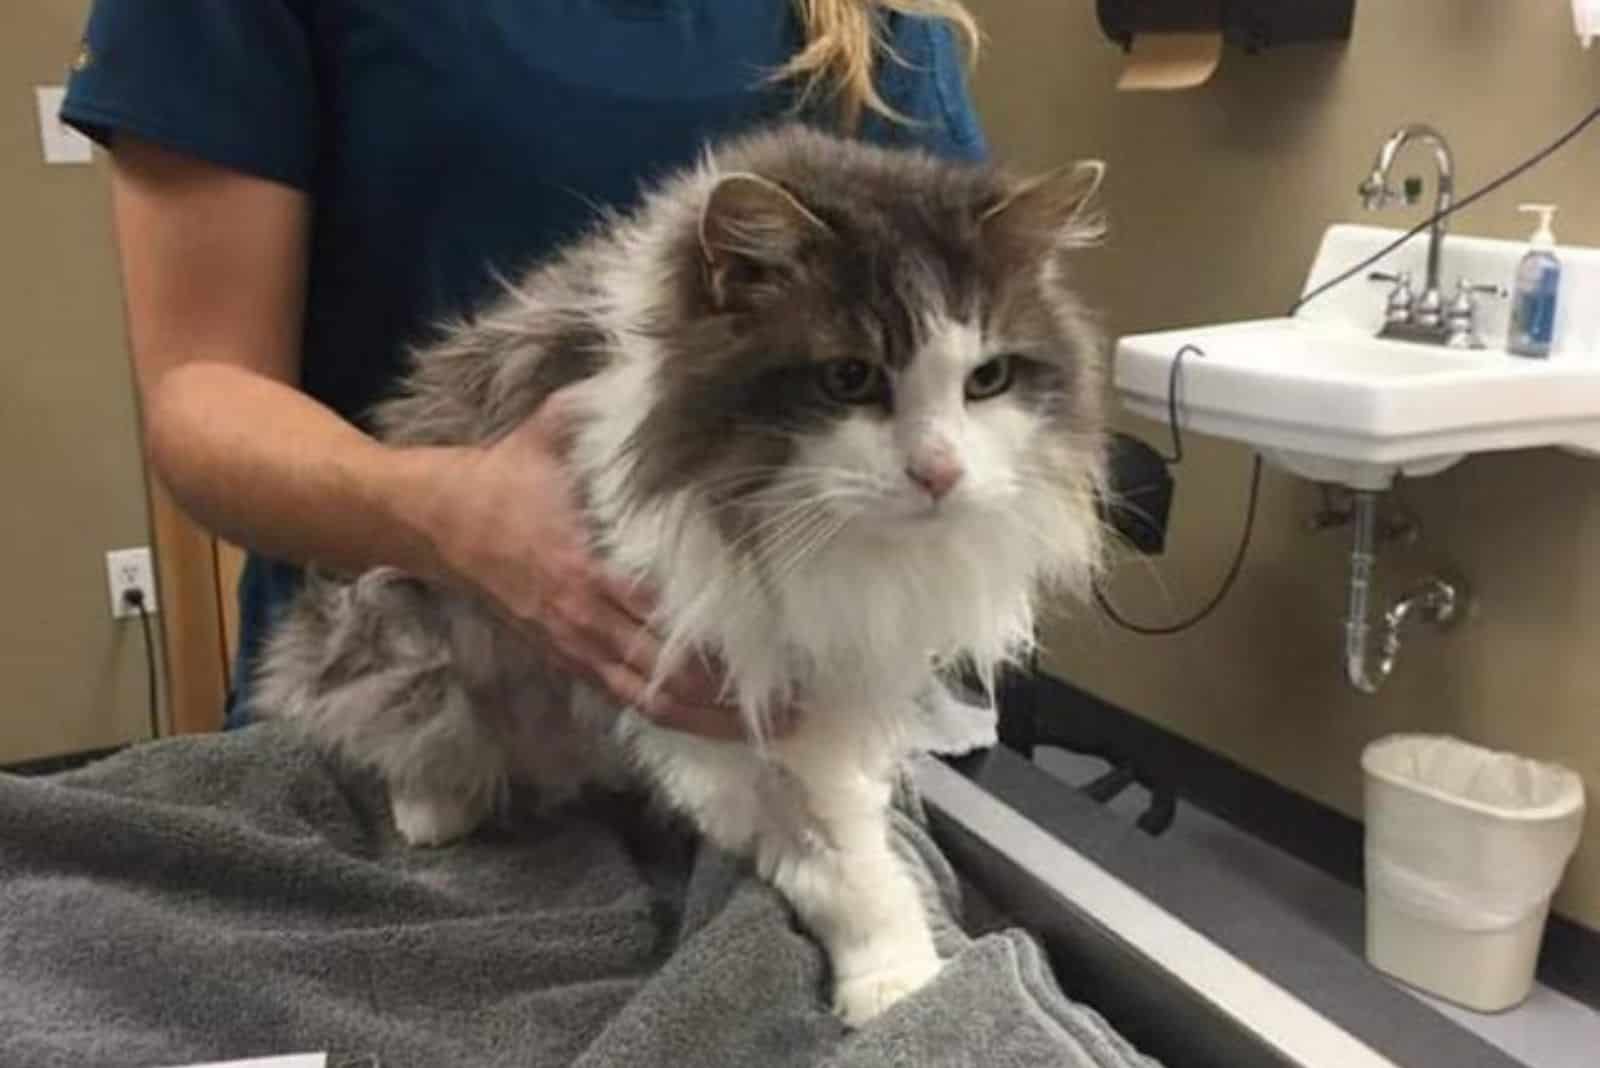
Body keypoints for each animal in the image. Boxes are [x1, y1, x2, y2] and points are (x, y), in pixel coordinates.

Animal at [259, 125, 1113, 1023]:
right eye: (849, 378)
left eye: (988, 380)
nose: (940, 473)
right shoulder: (713, 677)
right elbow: (836, 855)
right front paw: (892, 981)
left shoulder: (832, 676)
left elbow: (848, 818)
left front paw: (891, 962)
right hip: (398, 623)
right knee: (392, 721)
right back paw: (435, 804)